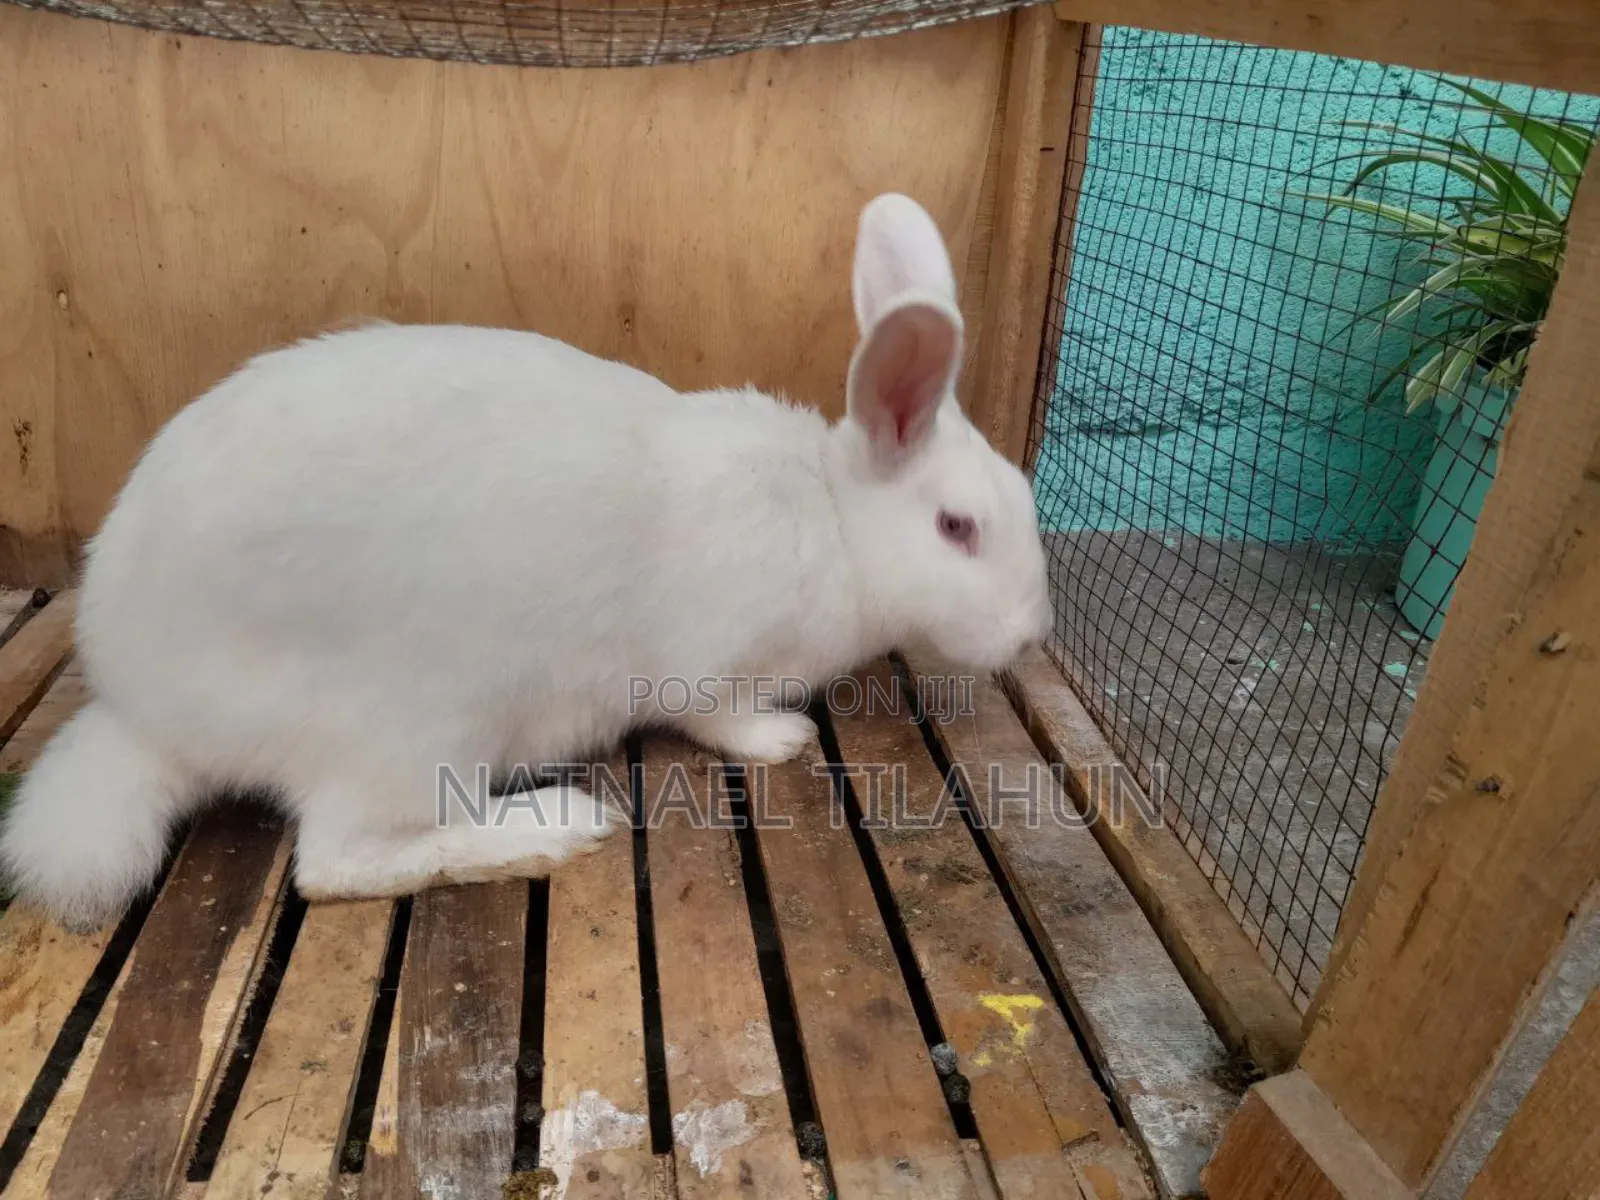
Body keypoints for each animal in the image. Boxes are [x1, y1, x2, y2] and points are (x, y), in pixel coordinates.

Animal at [0, 192, 1052, 932]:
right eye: (958, 527)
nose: (1032, 633)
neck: (831, 520)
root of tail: (145, 713)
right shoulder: (708, 667)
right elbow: (723, 720)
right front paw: (785, 740)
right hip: (414, 725)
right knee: (335, 862)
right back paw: (555, 825)